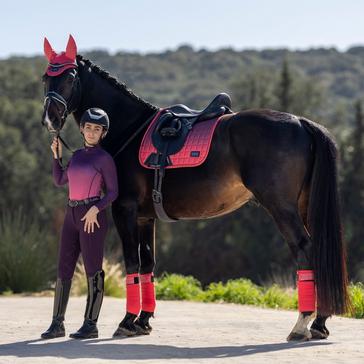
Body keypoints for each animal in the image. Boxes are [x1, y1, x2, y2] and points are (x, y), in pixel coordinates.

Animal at [41, 37, 352, 342]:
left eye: (70, 77)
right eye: (46, 78)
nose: (50, 118)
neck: (129, 130)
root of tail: (301, 122)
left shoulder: (124, 210)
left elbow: (131, 263)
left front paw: (127, 321)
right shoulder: (145, 217)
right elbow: (147, 265)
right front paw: (143, 321)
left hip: (282, 207)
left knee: (305, 249)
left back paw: (301, 324)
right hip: (304, 204)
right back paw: (319, 323)